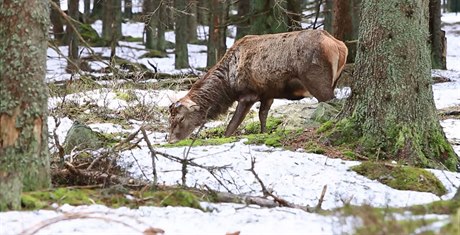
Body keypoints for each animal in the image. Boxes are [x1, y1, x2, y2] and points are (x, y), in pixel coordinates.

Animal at [169, 30, 348, 142]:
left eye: (180, 118)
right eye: (170, 119)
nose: (171, 140)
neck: (228, 84)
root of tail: (340, 46)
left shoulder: (248, 94)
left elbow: (232, 125)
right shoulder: (267, 94)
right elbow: (263, 116)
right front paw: (263, 133)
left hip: (317, 81)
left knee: (331, 103)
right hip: (334, 80)